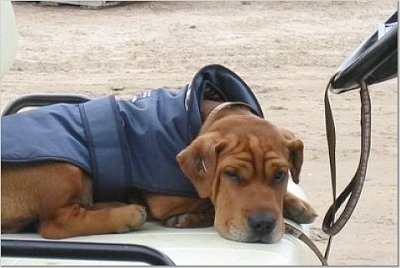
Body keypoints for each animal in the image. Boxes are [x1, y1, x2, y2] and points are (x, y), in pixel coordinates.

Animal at [1, 100, 318, 241]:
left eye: (280, 175)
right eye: (231, 175)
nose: (263, 225)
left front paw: (297, 204)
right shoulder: (167, 200)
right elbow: (207, 200)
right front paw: (190, 218)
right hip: (64, 168)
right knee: (55, 223)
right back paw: (127, 215)